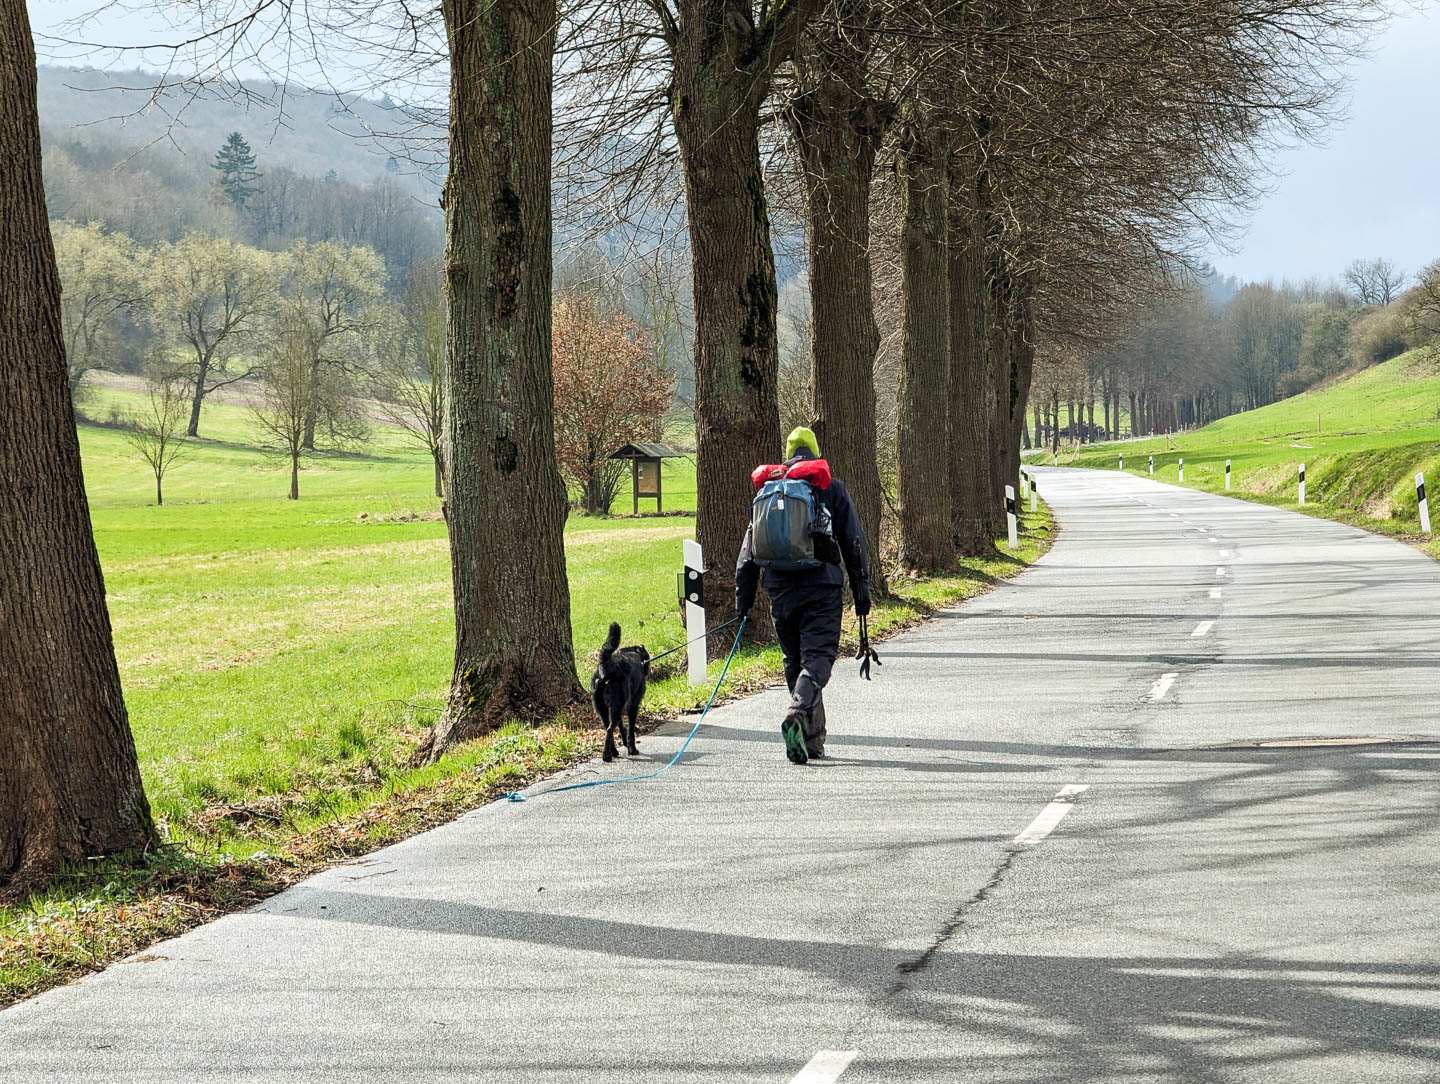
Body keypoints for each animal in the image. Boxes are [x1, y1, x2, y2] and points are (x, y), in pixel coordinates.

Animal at [587, 616, 650, 760]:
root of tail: (606, 666)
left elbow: (622, 727)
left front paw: (626, 744)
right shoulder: (633, 705)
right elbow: (631, 728)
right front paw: (632, 748)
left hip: (603, 708)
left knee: (607, 727)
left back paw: (613, 751)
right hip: (617, 704)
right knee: (610, 729)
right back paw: (606, 755)